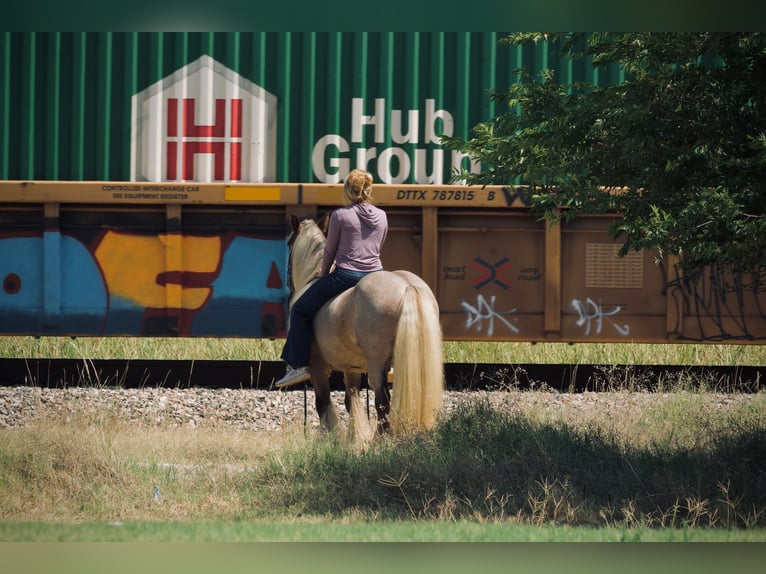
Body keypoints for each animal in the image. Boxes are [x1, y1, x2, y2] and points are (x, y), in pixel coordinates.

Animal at [285, 214, 444, 441]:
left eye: (289, 244)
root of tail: (407, 286)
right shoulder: (351, 367)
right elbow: (351, 400)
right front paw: (355, 437)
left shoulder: (317, 368)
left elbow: (323, 403)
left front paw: (331, 437)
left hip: (377, 365)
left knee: (382, 402)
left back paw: (380, 440)